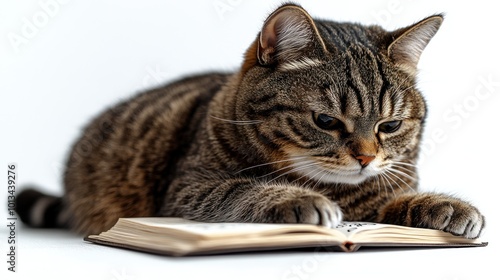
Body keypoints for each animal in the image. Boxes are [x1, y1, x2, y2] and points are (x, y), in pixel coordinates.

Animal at [16, 3, 484, 237]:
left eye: (389, 126)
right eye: (325, 121)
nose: (367, 158)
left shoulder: (379, 192)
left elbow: (392, 200)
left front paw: (443, 205)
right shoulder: (188, 188)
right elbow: (244, 190)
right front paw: (297, 199)